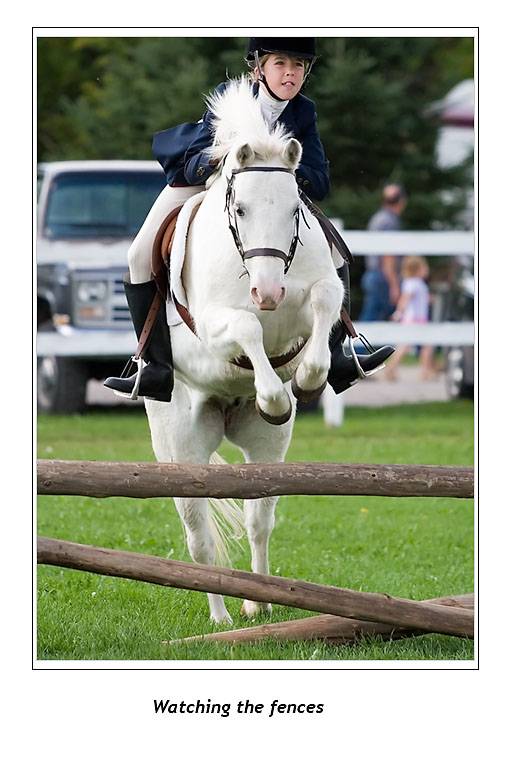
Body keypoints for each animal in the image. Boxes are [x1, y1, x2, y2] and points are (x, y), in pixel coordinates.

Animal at [145, 79, 344, 624]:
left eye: (295, 210)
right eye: (240, 210)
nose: (269, 293)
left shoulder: (316, 295)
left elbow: (323, 302)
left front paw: (307, 381)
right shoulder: (215, 327)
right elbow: (247, 327)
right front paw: (274, 395)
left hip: (266, 448)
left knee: (259, 519)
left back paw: (260, 601)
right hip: (181, 448)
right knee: (199, 538)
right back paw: (221, 617)